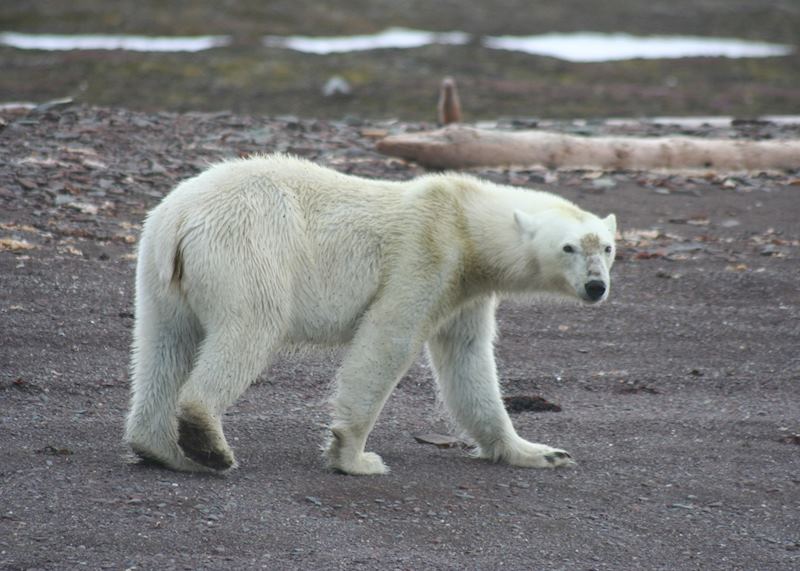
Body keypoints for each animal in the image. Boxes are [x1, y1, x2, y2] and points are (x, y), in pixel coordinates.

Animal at [125, 154, 617, 475]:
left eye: (608, 247)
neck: (466, 219)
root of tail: (180, 220)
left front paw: (540, 452)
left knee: (162, 345)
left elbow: (468, 360)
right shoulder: (427, 254)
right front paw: (356, 457)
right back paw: (208, 443)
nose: (597, 286)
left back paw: (162, 449)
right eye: (569, 247)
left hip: (158, 275)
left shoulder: (468, 291)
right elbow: (388, 338)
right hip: (248, 248)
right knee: (250, 326)